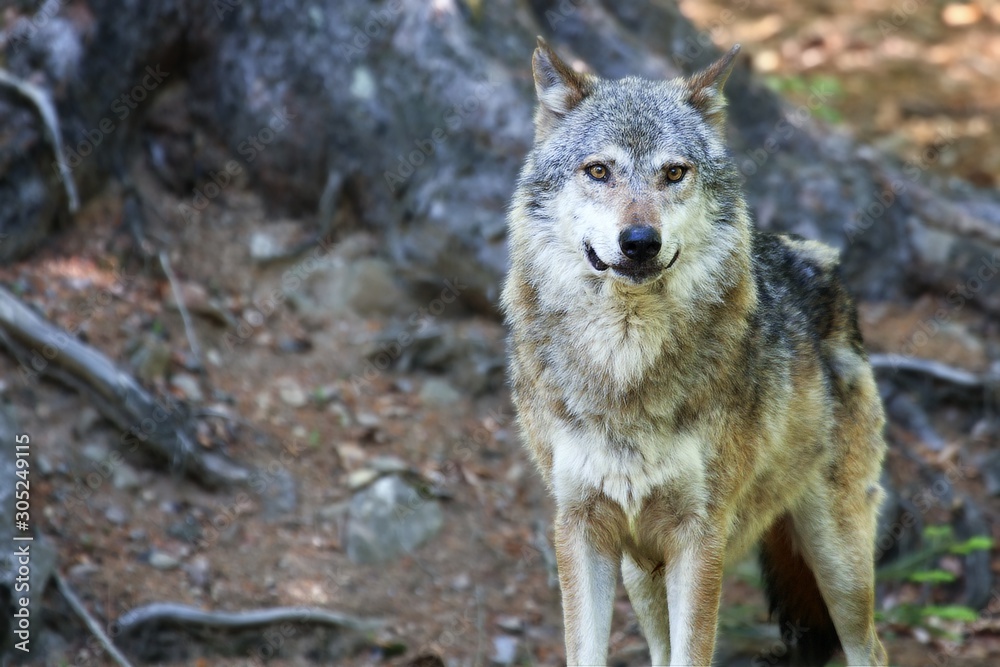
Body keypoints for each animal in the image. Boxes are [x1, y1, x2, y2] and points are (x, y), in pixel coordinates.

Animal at [500, 39, 888, 667]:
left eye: (674, 172)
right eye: (599, 170)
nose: (640, 242)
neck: (626, 367)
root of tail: (828, 267)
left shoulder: (699, 535)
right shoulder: (581, 527)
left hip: (840, 560)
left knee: (871, 647)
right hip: (642, 572)